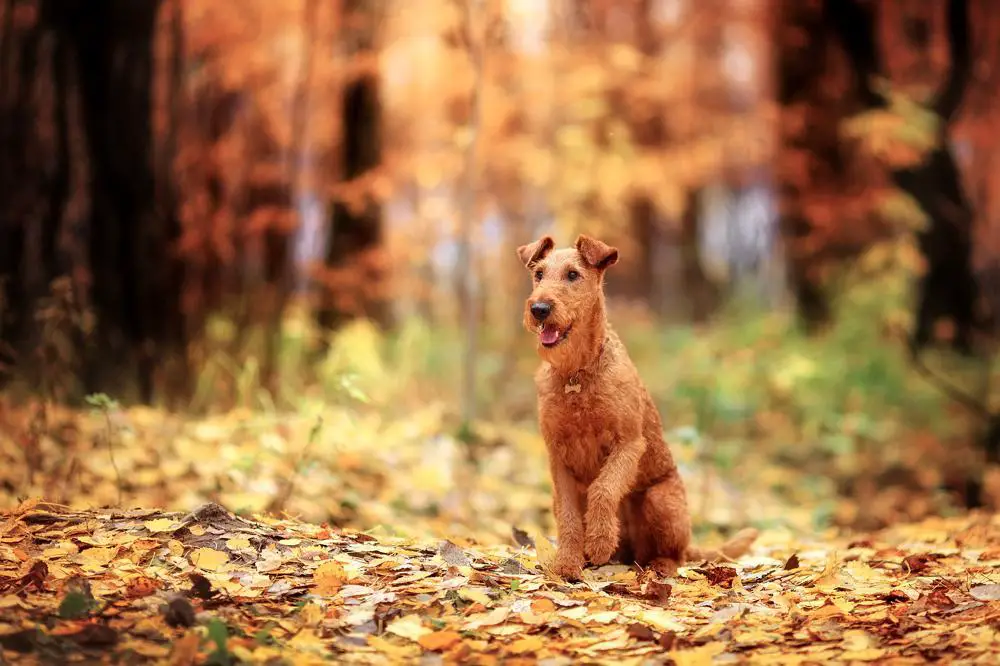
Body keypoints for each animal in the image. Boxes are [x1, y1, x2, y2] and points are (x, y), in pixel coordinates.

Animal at [516, 236, 756, 580]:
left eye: (573, 274)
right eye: (538, 274)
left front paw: (600, 541)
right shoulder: (558, 458)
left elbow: (603, 488)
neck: (576, 375)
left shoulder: (628, 443)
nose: (538, 309)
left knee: (676, 554)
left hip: (660, 499)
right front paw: (568, 563)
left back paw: (657, 565)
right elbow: (570, 517)